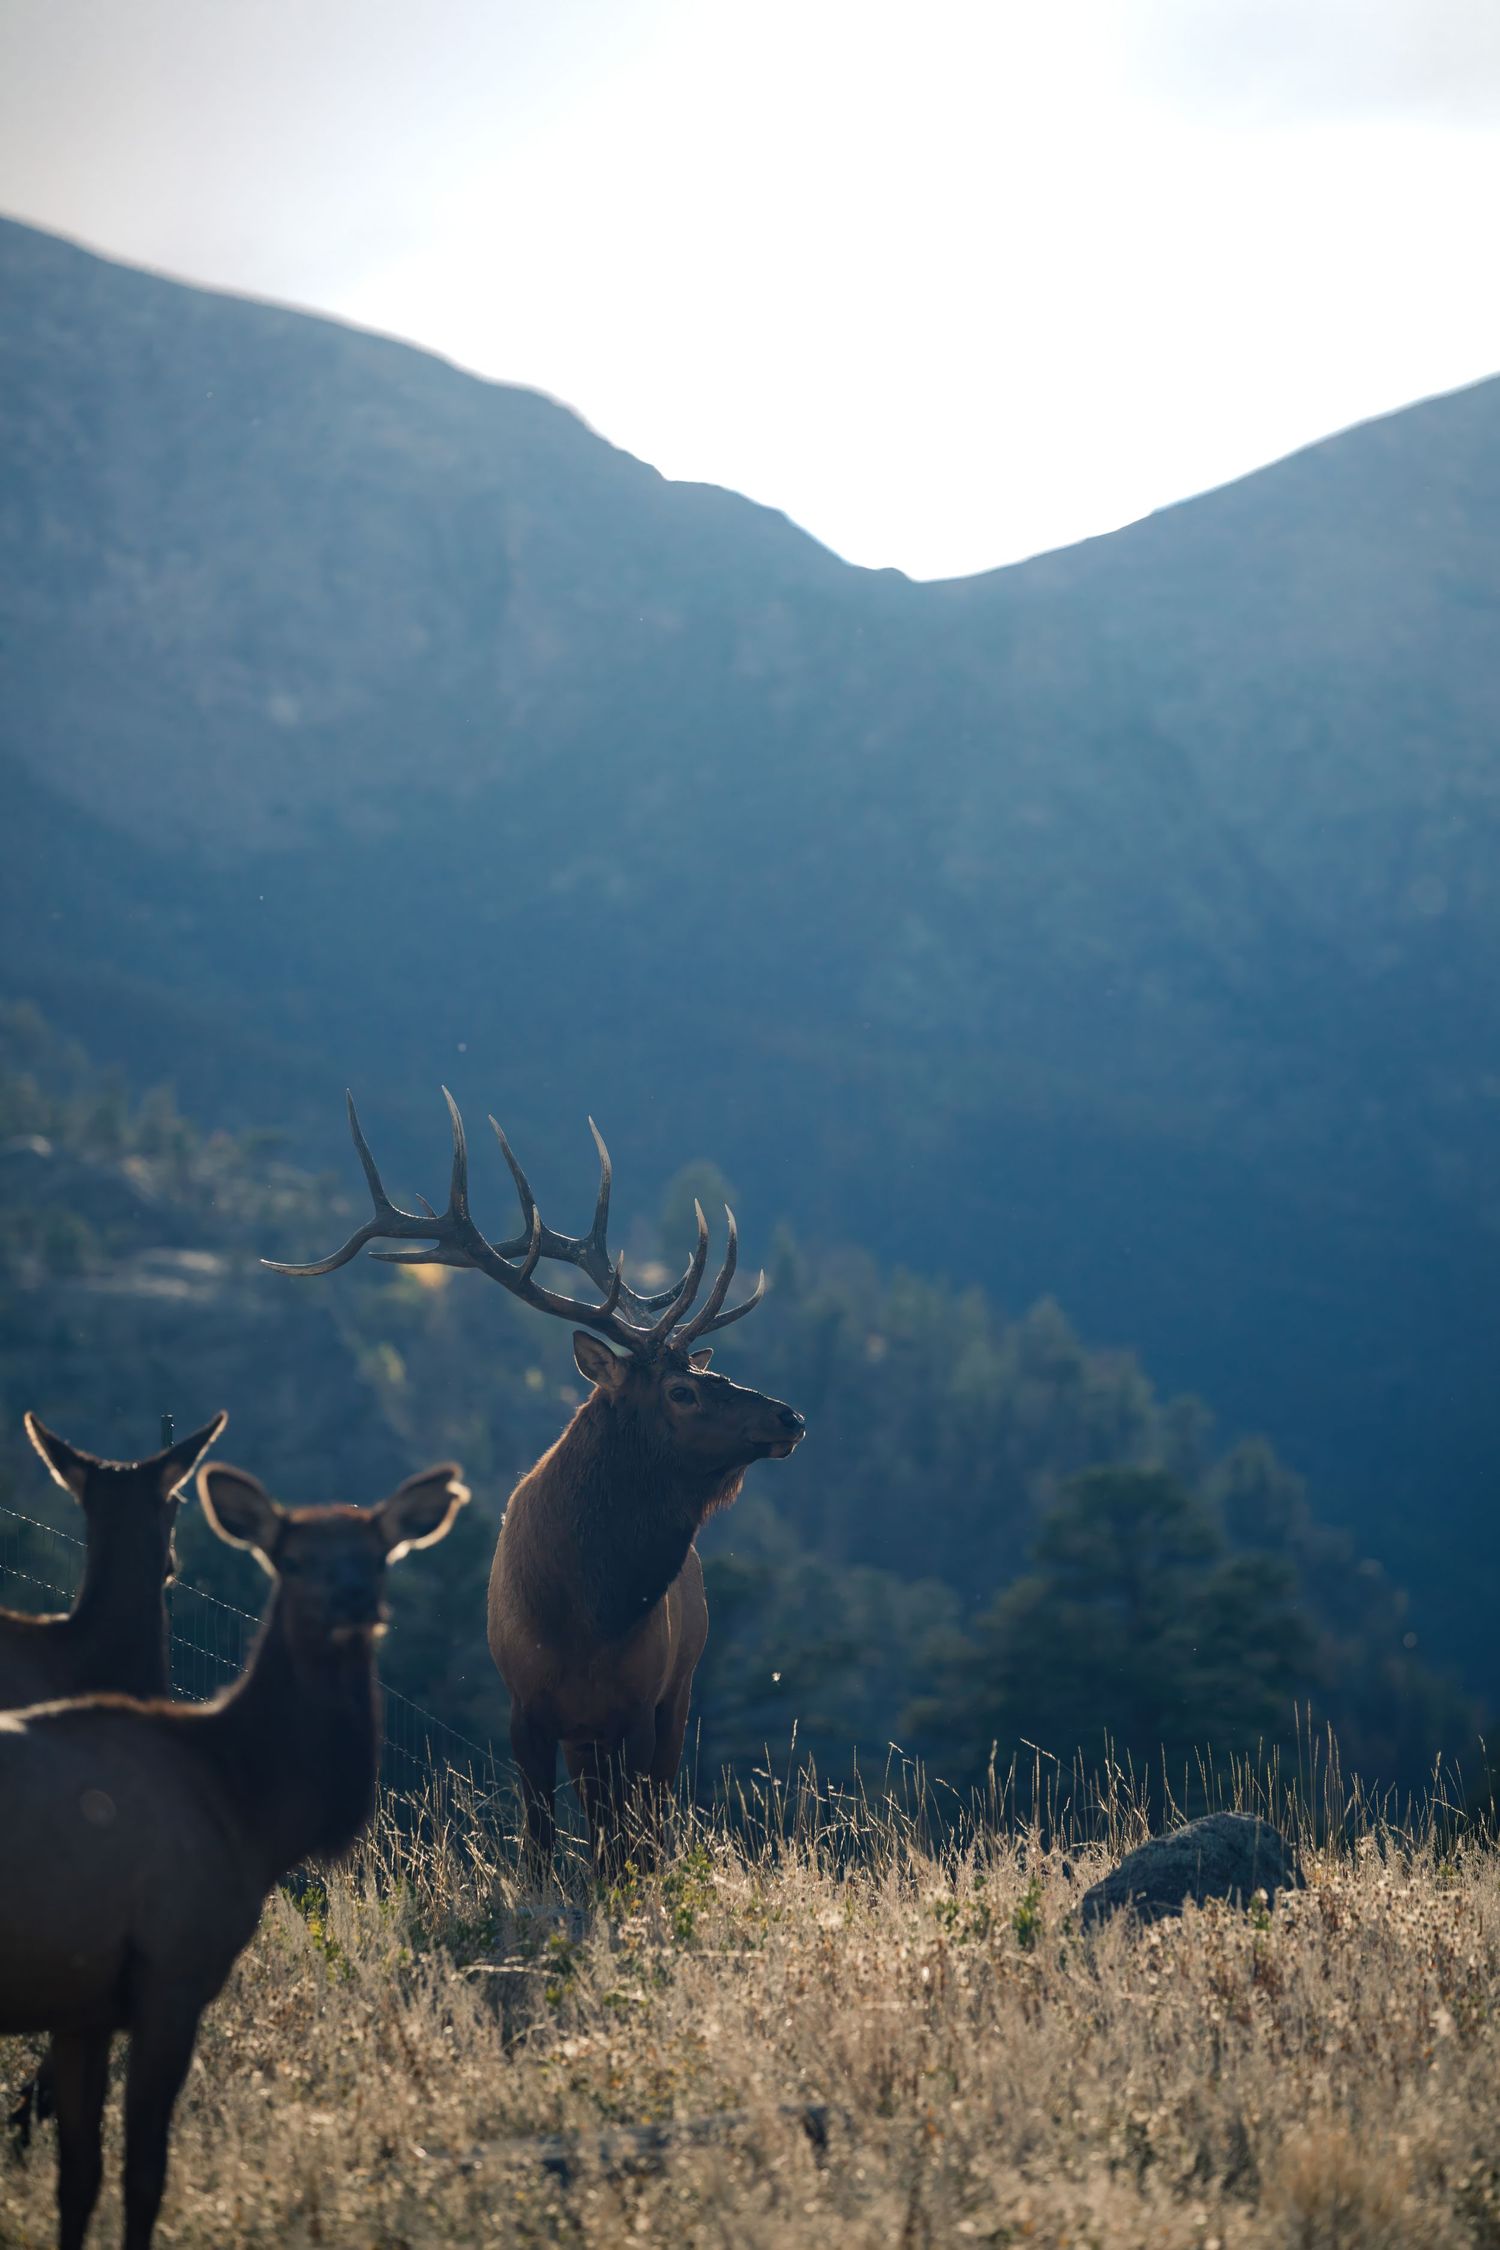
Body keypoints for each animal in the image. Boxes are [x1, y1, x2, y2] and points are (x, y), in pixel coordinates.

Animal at [0, 1453, 468, 2250]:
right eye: (292, 1558)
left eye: (379, 1553)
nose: (354, 1599)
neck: (246, 1802)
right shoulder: (173, 1966)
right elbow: (144, 2175)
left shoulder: (83, 1998)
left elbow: (78, 2177)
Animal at [268, 1090, 805, 1869]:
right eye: (681, 1391)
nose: (790, 1416)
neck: (588, 1615)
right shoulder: (527, 1710)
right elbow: (541, 1844)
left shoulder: (640, 1706)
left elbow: (631, 1844)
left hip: (677, 1694)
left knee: (649, 1817)